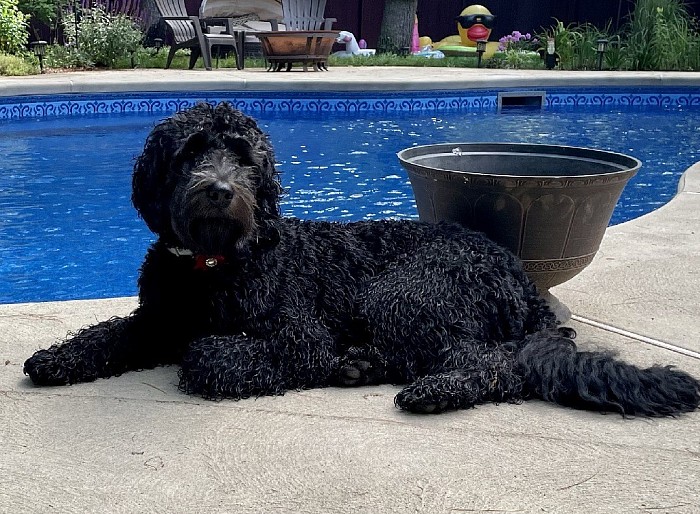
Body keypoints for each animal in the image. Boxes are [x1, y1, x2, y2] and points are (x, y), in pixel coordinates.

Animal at [24, 101, 700, 416]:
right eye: (191, 151)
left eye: (242, 156)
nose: (218, 189)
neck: (212, 267)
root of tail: (517, 276)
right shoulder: (156, 319)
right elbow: (109, 334)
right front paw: (59, 357)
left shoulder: (297, 337)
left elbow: (208, 356)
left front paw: (215, 353)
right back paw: (362, 365)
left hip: (406, 292)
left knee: (495, 364)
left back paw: (432, 389)